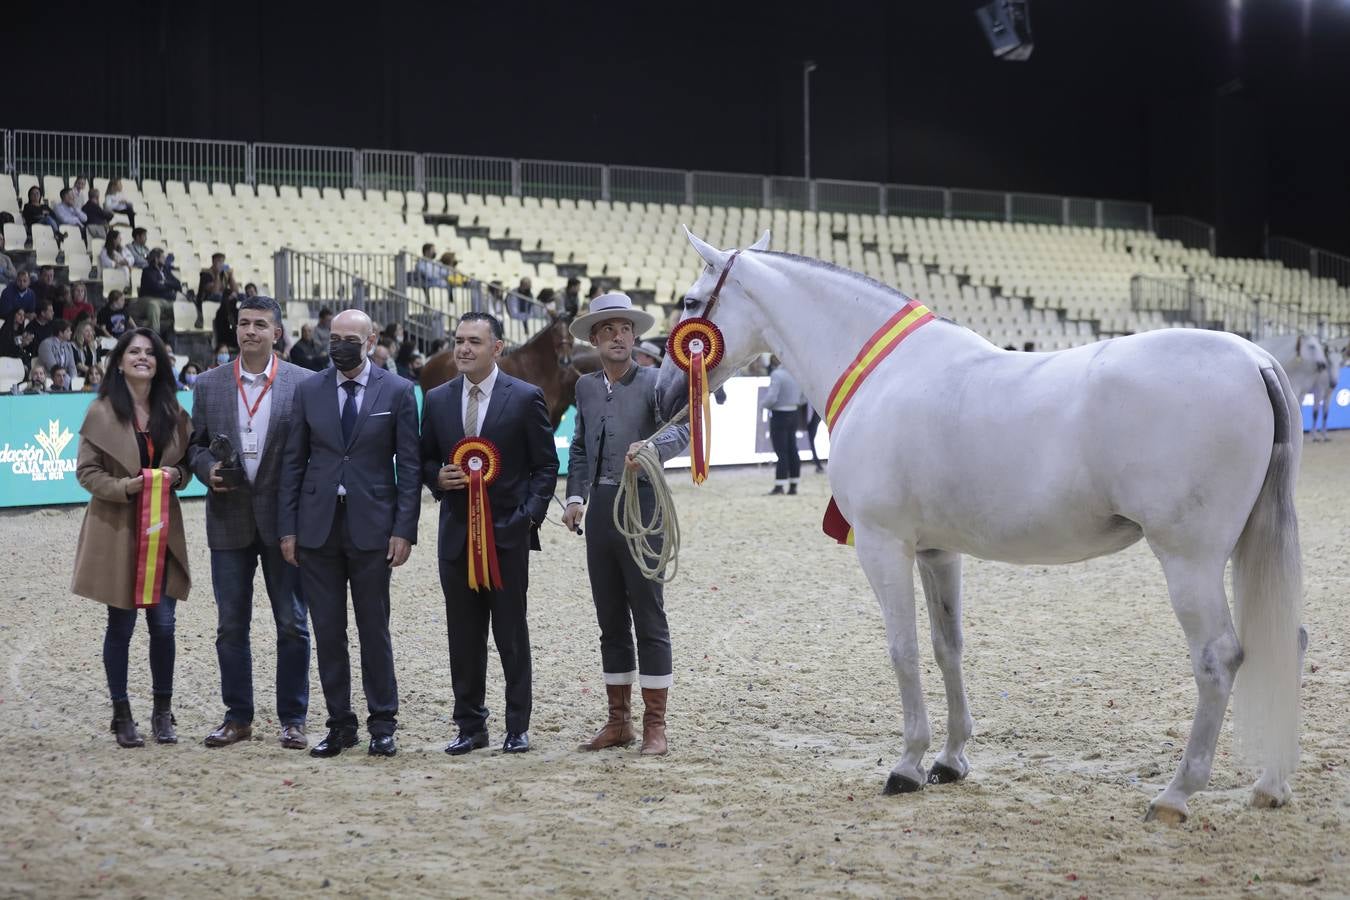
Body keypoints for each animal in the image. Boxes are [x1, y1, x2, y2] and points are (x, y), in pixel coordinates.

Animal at [658, 230, 1301, 825]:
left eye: (689, 302)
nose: (665, 394)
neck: (883, 375)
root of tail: (1255, 360)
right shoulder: (938, 552)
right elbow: (948, 647)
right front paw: (950, 760)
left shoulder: (883, 545)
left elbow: (903, 648)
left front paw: (907, 765)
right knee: (1284, 639)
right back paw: (1271, 785)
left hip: (1188, 559)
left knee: (1219, 657)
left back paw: (1175, 795)